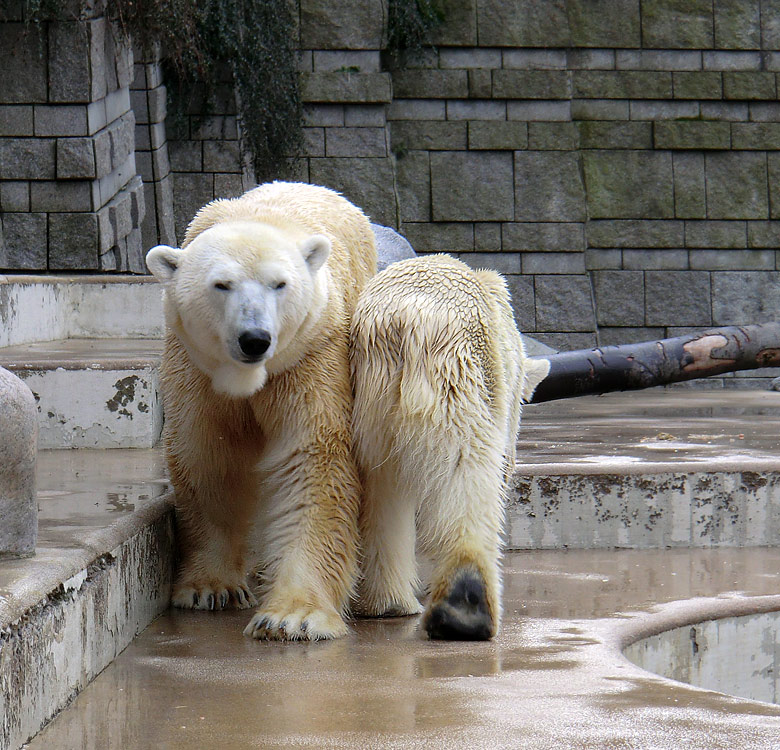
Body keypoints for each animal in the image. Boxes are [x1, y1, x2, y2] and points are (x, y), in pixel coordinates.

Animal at [149, 182, 378, 640]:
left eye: (279, 284)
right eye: (221, 284)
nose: (255, 338)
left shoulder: (310, 356)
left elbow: (310, 460)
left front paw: (294, 616)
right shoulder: (194, 365)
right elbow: (210, 458)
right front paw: (210, 587)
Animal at [350, 258, 552, 640]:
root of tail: (407, 317)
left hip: (370, 388)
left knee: (381, 483)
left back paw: (389, 604)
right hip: (458, 371)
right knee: (465, 473)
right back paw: (464, 607)